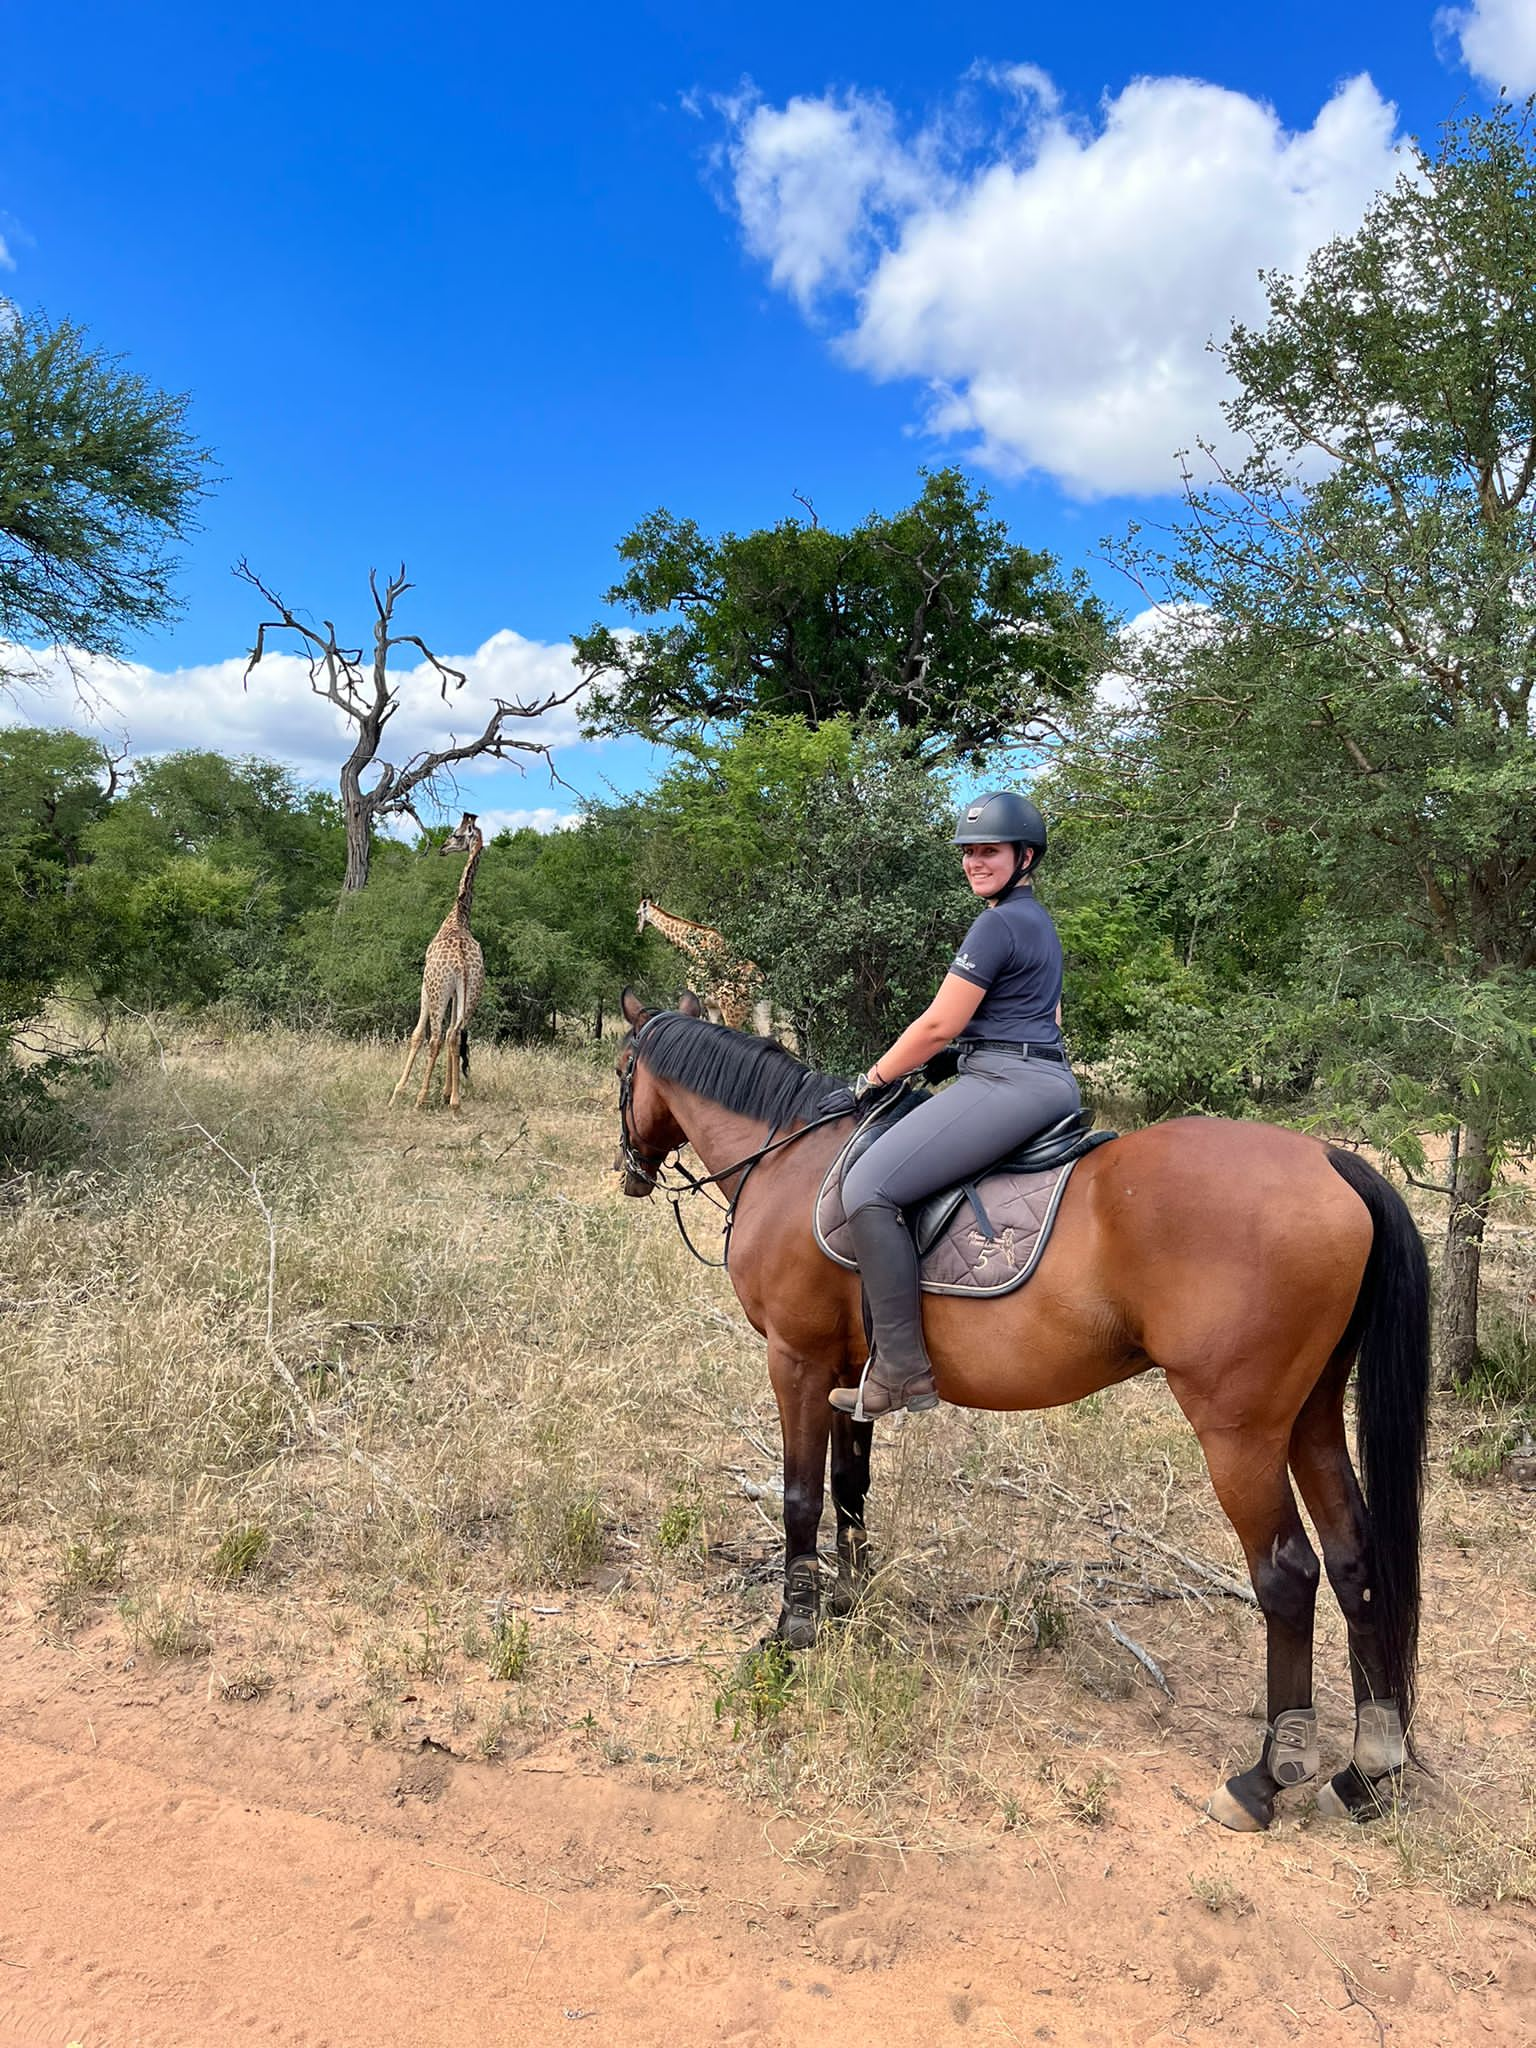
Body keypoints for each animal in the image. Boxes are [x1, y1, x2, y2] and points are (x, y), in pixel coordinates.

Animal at [393, 811, 483, 1114]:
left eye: (456, 834)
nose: (443, 848)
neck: (458, 917)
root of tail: (463, 960)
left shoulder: (425, 984)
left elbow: (417, 1034)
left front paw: (397, 1091)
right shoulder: (457, 993)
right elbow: (453, 1037)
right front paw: (446, 1093)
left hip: (437, 989)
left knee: (435, 1037)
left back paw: (420, 1098)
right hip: (473, 992)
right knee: (455, 1034)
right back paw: (454, 1101)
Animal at [618, 987, 1441, 1826]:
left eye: (623, 1070)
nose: (629, 1171)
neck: (789, 1158)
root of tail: (1331, 1161)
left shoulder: (798, 1361)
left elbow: (800, 1498)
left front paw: (793, 1630)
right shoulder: (849, 1372)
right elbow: (850, 1488)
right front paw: (850, 1600)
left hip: (1239, 1432)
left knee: (1288, 1576)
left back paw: (1264, 1779)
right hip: (1310, 1415)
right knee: (1355, 1559)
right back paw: (1366, 1770)